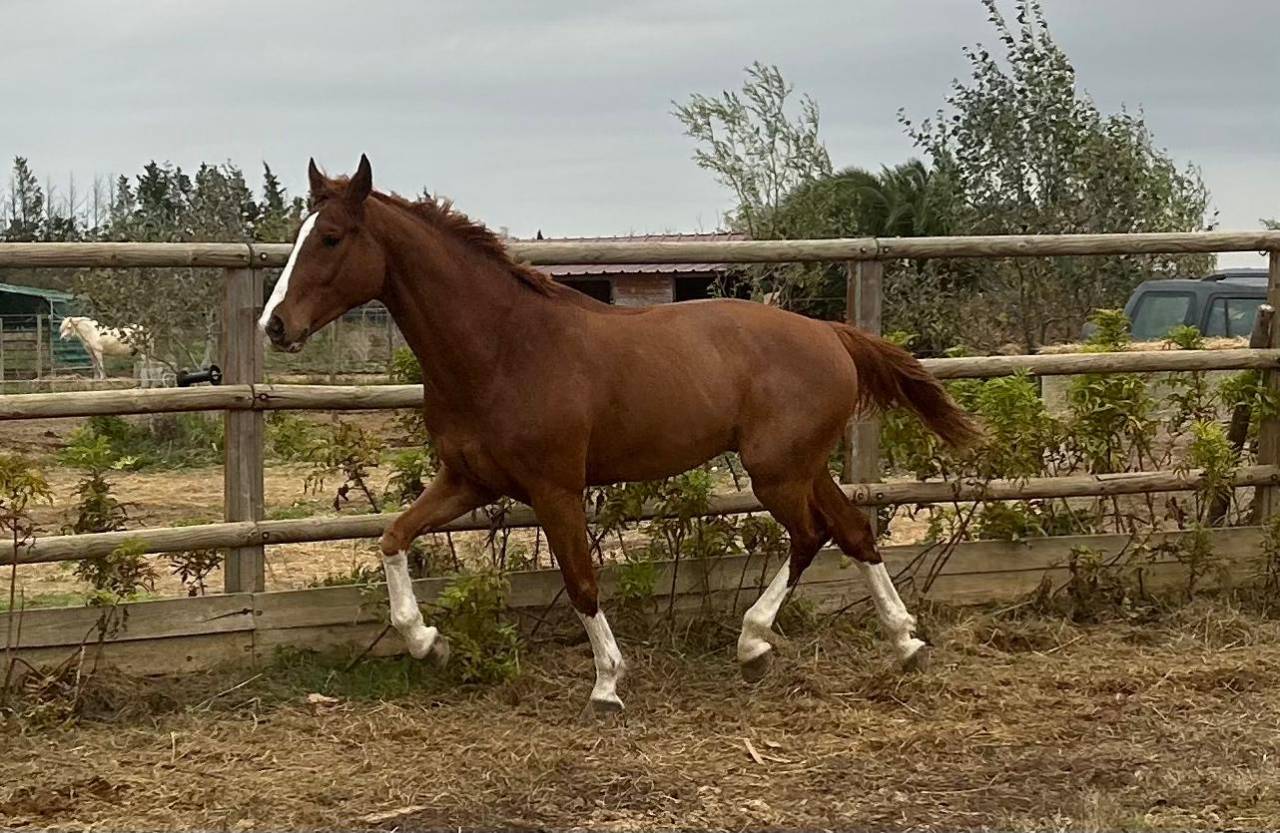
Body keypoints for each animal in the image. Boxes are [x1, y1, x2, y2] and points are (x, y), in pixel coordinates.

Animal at [261, 155, 979, 716]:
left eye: (330, 237)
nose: (274, 325)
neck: (502, 348)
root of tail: (831, 332)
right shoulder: (468, 480)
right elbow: (393, 536)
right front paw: (426, 641)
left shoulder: (555, 488)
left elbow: (581, 578)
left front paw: (608, 683)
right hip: (802, 465)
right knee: (853, 530)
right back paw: (903, 640)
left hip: (777, 472)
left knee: (812, 535)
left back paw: (755, 644)